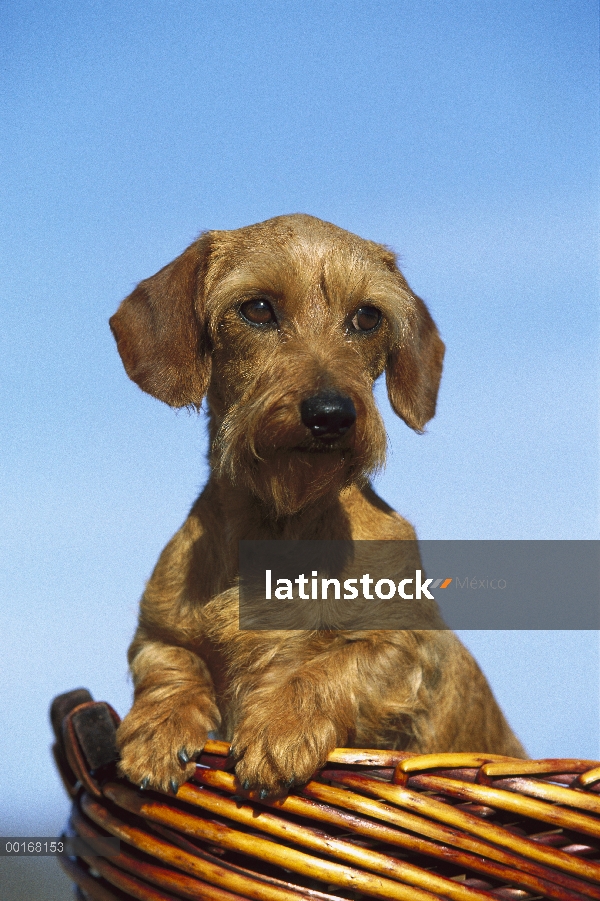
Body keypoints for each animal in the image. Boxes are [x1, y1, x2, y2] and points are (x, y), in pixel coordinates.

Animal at [109, 213, 524, 796]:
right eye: (258, 308)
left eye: (368, 316)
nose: (332, 414)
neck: (280, 522)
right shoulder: (155, 633)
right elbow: (173, 667)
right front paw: (158, 730)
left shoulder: (406, 646)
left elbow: (332, 664)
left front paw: (279, 728)